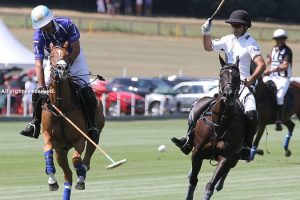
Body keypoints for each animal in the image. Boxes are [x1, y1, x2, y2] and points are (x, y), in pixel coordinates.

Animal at [41, 41, 104, 199]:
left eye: (67, 55)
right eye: (51, 55)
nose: (62, 69)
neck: (61, 106)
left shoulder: (80, 138)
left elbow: (76, 159)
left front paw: (81, 173)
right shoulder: (50, 137)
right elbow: (48, 151)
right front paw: (52, 180)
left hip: (95, 132)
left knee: (88, 153)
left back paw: (82, 175)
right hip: (61, 150)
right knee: (67, 175)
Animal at [186, 56, 245, 200]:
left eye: (237, 76)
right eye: (221, 75)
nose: (228, 95)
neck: (220, 122)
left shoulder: (226, 157)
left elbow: (210, 185)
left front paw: (215, 185)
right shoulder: (197, 152)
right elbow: (193, 180)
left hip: (235, 156)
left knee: (228, 169)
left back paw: (220, 184)